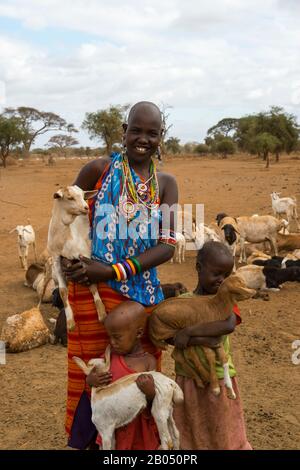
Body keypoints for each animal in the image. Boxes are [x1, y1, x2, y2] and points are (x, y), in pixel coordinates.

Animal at [45, 185, 106, 330]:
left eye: (83, 196)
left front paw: (101, 312)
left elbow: (92, 283)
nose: (86, 207)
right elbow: (62, 291)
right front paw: (70, 322)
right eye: (70, 197)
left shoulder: (84, 255)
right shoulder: (56, 258)